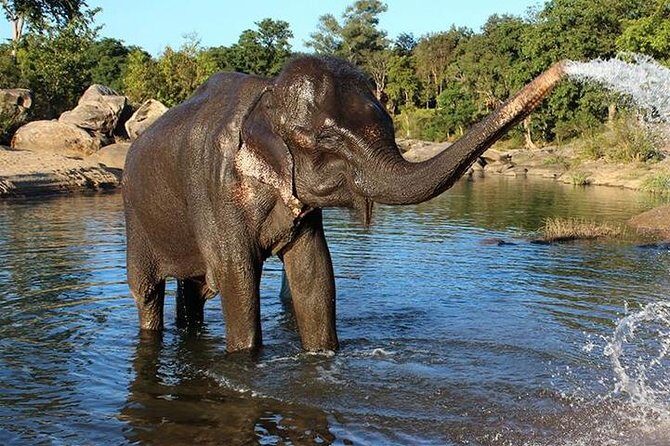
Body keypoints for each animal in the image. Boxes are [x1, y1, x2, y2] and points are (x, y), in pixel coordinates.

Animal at [123, 55, 566, 352]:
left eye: (390, 125)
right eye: (328, 140)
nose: (564, 68)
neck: (267, 95)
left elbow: (314, 272)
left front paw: (323, 356)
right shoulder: (215, 187)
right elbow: (237, 275)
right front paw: (247, 357)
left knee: (194, 288)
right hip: (136, 218)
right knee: (147, 291)